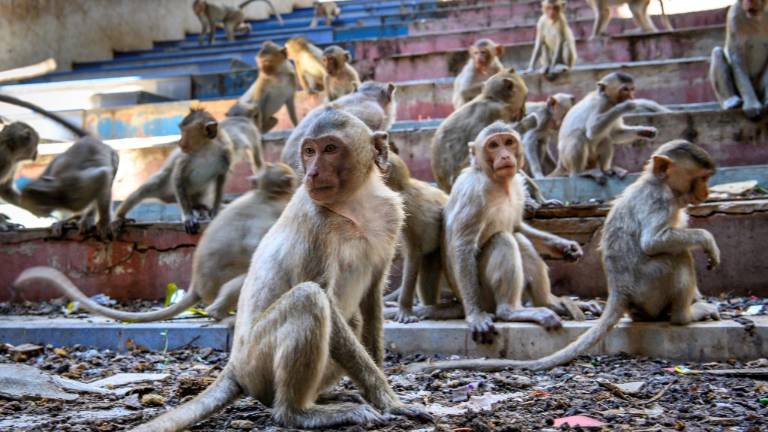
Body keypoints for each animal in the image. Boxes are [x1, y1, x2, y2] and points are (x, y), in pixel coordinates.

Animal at [15, 163, 297, 322]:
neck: (264, 194)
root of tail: (197, 287)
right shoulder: (271, 212)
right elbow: (257, 246)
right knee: (247, 277)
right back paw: (218, 311)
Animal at [66, 107, 428, 430]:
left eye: (330, 148)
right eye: (309, 151)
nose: (311, 173)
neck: (355, 203)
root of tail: (234, 366)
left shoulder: (390, 216)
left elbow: (371, 298)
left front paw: (382, 388)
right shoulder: (315, 222)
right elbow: (322, 294)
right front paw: (387, 399)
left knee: (350, 318)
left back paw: (319, 399)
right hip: (258, 360)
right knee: (309, 300)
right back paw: (298, 412)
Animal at [407, 140, 721, 373]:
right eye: (701, 178)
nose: (706, 191)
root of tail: (619, 293)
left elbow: (519, 226)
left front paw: (566, 246)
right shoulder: (660, 200)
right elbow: (653, 242)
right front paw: (707, 241)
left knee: (517, 238)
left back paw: (550, 302)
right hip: (649, 288)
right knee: (677, 257)